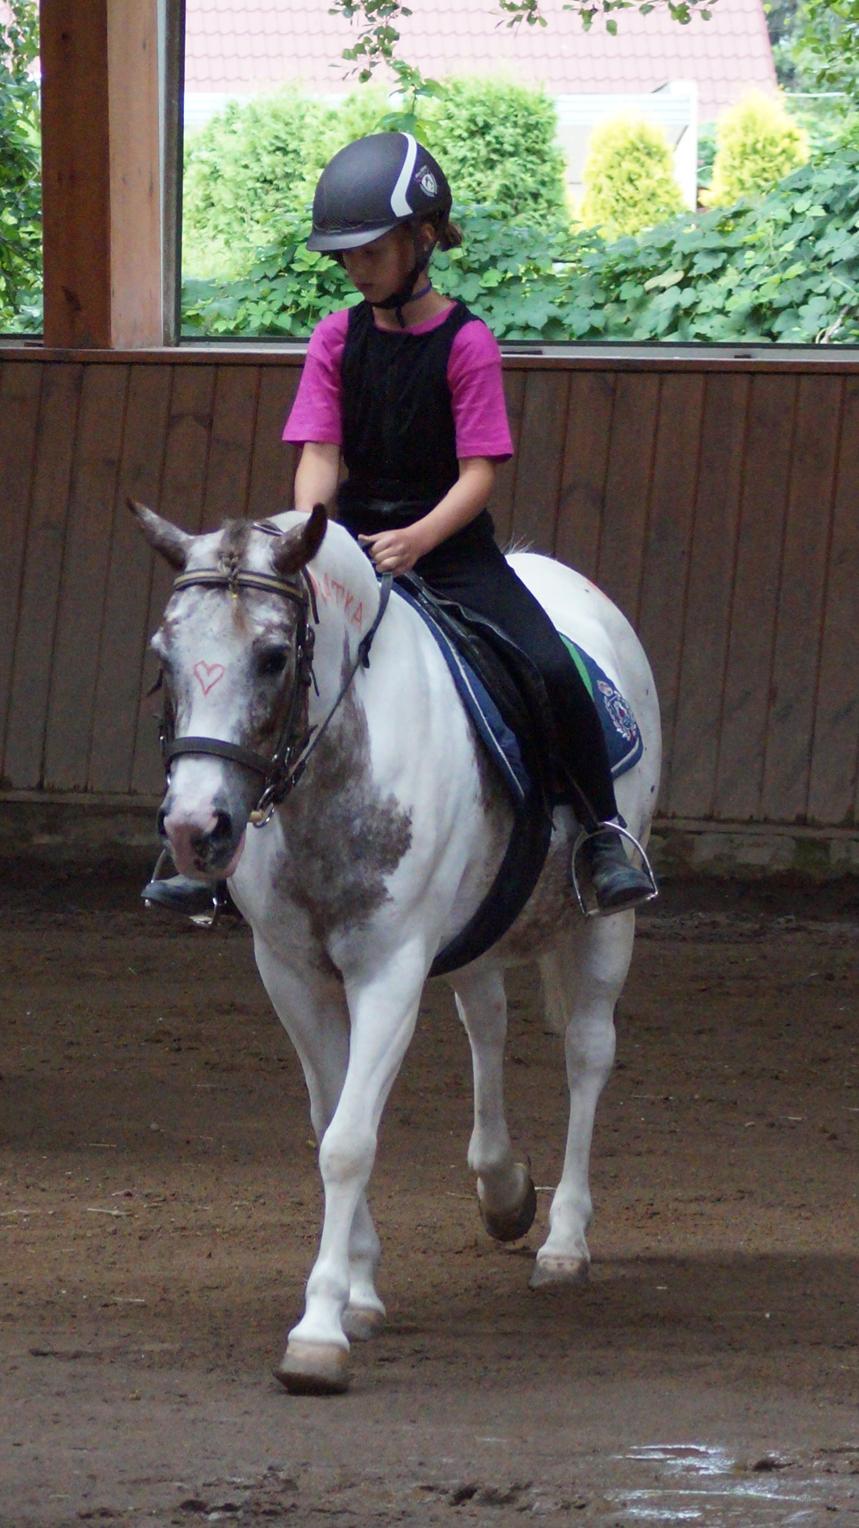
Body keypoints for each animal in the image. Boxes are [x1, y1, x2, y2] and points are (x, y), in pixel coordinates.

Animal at [131, 500, 661, 1395]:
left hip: (605, 921)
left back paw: (562, 1242)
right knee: (486, 1021)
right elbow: (329, 1117)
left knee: (588, 1053)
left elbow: (348, 1142)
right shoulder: (290, 975)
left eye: (273, 657)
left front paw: (317, 1334)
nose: (195, 830)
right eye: (164, 657)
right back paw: (502, 1188)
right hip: (482, 924)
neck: (331, 774)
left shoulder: (388, 970)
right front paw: (360, 1293)